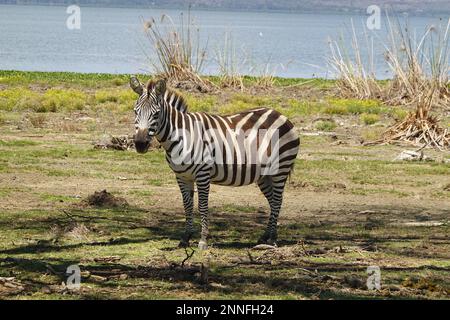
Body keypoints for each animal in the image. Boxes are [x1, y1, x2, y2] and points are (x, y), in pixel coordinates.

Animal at [129, 77, 298, 250]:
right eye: (135, 111)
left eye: (156, 114)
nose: (140, 144)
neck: (181, 136)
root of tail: (280, 114)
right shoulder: (182, 176)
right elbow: (187, 205)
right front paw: (185, 238)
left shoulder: (203, 174)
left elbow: (202, 205)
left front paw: (203, 240)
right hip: (264, 175)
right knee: (272, 201)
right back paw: (265, 236)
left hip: (280, 168)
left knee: (277, 201)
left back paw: (273, 239)